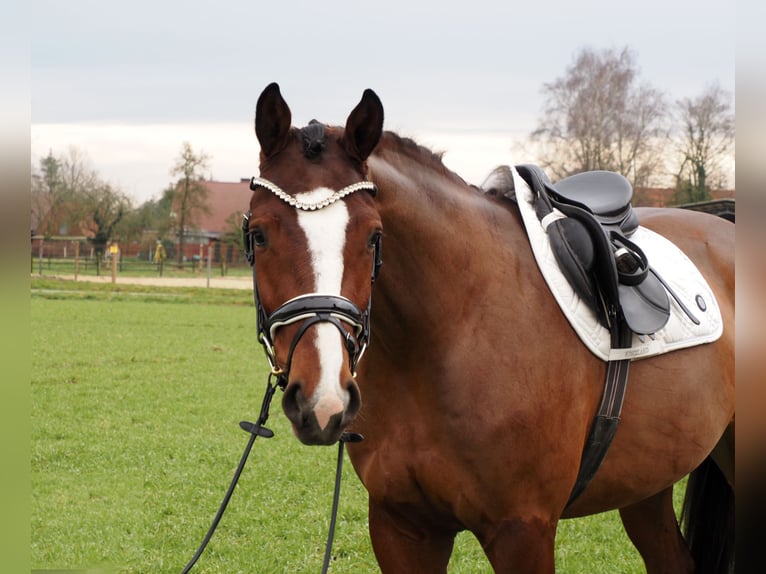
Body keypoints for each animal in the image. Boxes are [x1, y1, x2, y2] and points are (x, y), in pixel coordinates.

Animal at [245, 82, 735, 573]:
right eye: (259, 235)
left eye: (373, 236)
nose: (322, 399)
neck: (447, 336)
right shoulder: (401, 527)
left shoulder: (523, 530)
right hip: (647, 481)